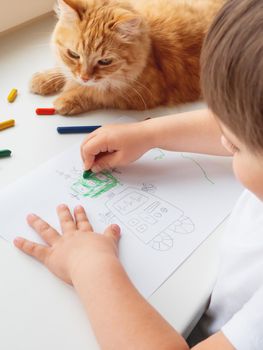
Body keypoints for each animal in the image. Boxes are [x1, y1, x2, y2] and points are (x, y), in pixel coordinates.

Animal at [30, 0, 225, 115]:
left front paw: (66, 100)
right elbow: (63, 71)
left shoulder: (136, 95)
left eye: (105, 61)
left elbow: (95, 94)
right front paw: (44, 79)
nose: (85, 77)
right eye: (74, 55)